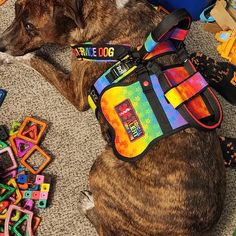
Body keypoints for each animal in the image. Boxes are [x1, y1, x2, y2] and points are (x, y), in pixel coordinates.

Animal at [0, 0, 226, 235]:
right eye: (14, 10)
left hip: (103, 166)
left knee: (105, 228)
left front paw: (8, 57)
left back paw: (88, 204)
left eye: (29, 26)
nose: (1, 44)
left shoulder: (75, 92)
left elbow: (39, 61)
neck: (96, 12)